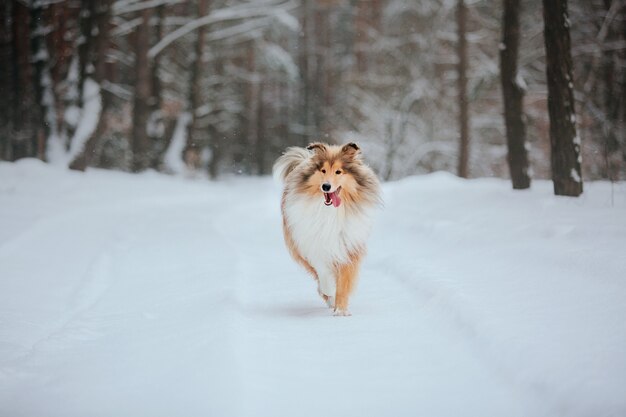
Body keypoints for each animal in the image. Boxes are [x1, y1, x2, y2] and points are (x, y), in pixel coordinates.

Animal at [272, 141, 380, 314]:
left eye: (338, 171)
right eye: (323, 170)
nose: (326, 186)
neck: (331, 212)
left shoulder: (348, 247)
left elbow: (344, 281)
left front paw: (341, 310)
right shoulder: (314, 246)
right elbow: (324, 272)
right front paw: (330, 292)